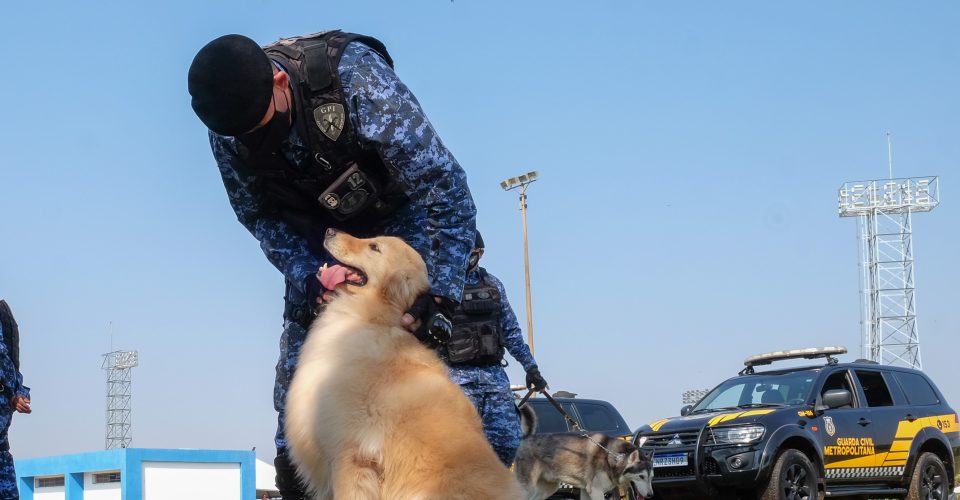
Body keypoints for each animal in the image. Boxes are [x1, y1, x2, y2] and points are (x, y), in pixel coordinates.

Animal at [516, 404, 652, 498]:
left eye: (651, 477)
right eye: (641, 476)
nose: (651, 495)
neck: (612, 456)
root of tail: (526, 437)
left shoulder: (586, 491)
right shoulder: (596, 491)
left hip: (548, 488)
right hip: (528, 488)